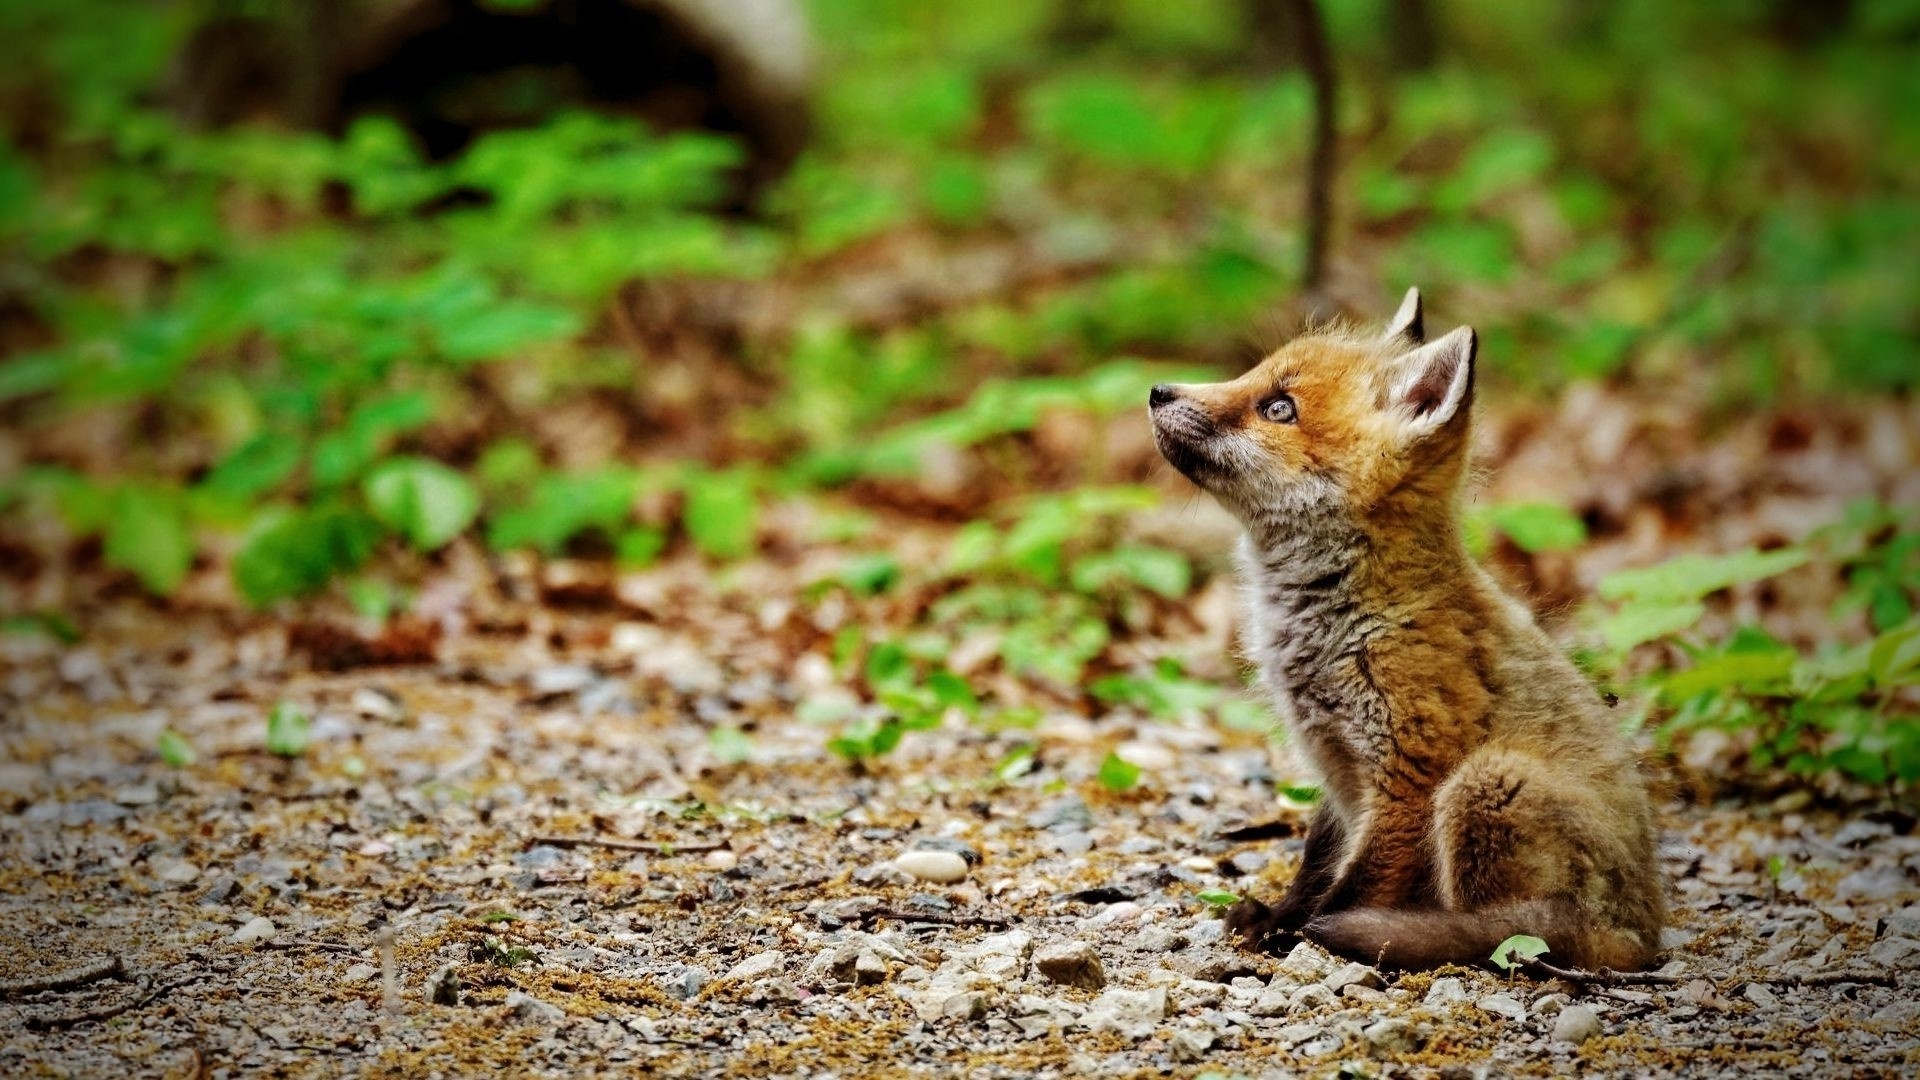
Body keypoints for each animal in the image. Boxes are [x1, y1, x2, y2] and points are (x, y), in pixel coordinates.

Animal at [1152, 288, 1666, 968]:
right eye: (1253, 377)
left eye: (1278, 407)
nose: (1157, 390)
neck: (1352, 623)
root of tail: (1643, 935)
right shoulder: (1337, 772)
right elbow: (1316, 865)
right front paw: (1279, 919)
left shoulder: (1408, 776)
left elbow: (1353, 888)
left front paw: (1298, 938)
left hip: (1484, 782)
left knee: (1515, 935)